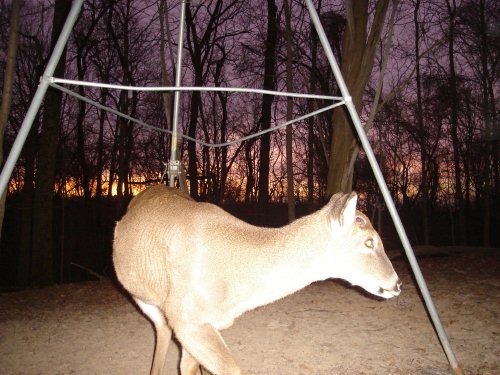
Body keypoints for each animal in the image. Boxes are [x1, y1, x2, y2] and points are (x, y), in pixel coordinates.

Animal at [113, 186, 402, 375]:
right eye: (369, 241)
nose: (397, 283)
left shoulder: (202, 323)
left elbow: (189, 365)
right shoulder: (186, 316)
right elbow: (230, 370)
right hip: (144, 296)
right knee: (161, 329)